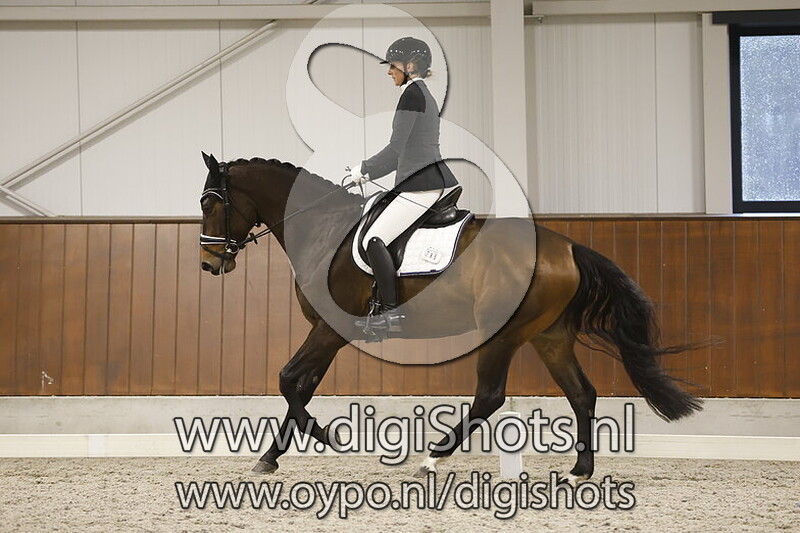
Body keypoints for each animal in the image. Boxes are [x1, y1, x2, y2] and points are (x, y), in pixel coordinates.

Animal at [198, 153, 703, 482]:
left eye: (211, 204)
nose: (208, 264)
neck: (325, 230)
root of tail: (567, 247)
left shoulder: (330, 329)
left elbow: (287, 380)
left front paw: (327, 436)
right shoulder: (328, 333)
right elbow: (298, 388)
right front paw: (270, 458)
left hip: (502, 333)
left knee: (490, 397)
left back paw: (431, 458)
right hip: (550, 337)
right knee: (582, 393)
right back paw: (580, 470)